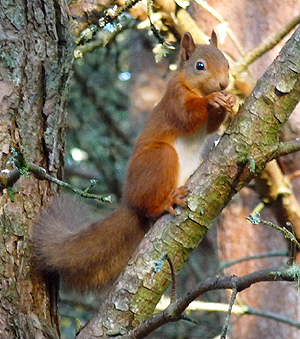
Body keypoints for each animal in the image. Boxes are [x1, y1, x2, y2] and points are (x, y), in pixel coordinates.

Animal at [32, 31, 234, 292]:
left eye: (227, 64)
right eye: (200, 66)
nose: (223, 84)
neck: (195, 89)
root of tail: (129, 201)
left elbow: (211, 126)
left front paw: (229, 100)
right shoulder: (174, 97)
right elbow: (188, 116)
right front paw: (213, 99)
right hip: (160, 158)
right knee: (150, 203)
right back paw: (166, 201)